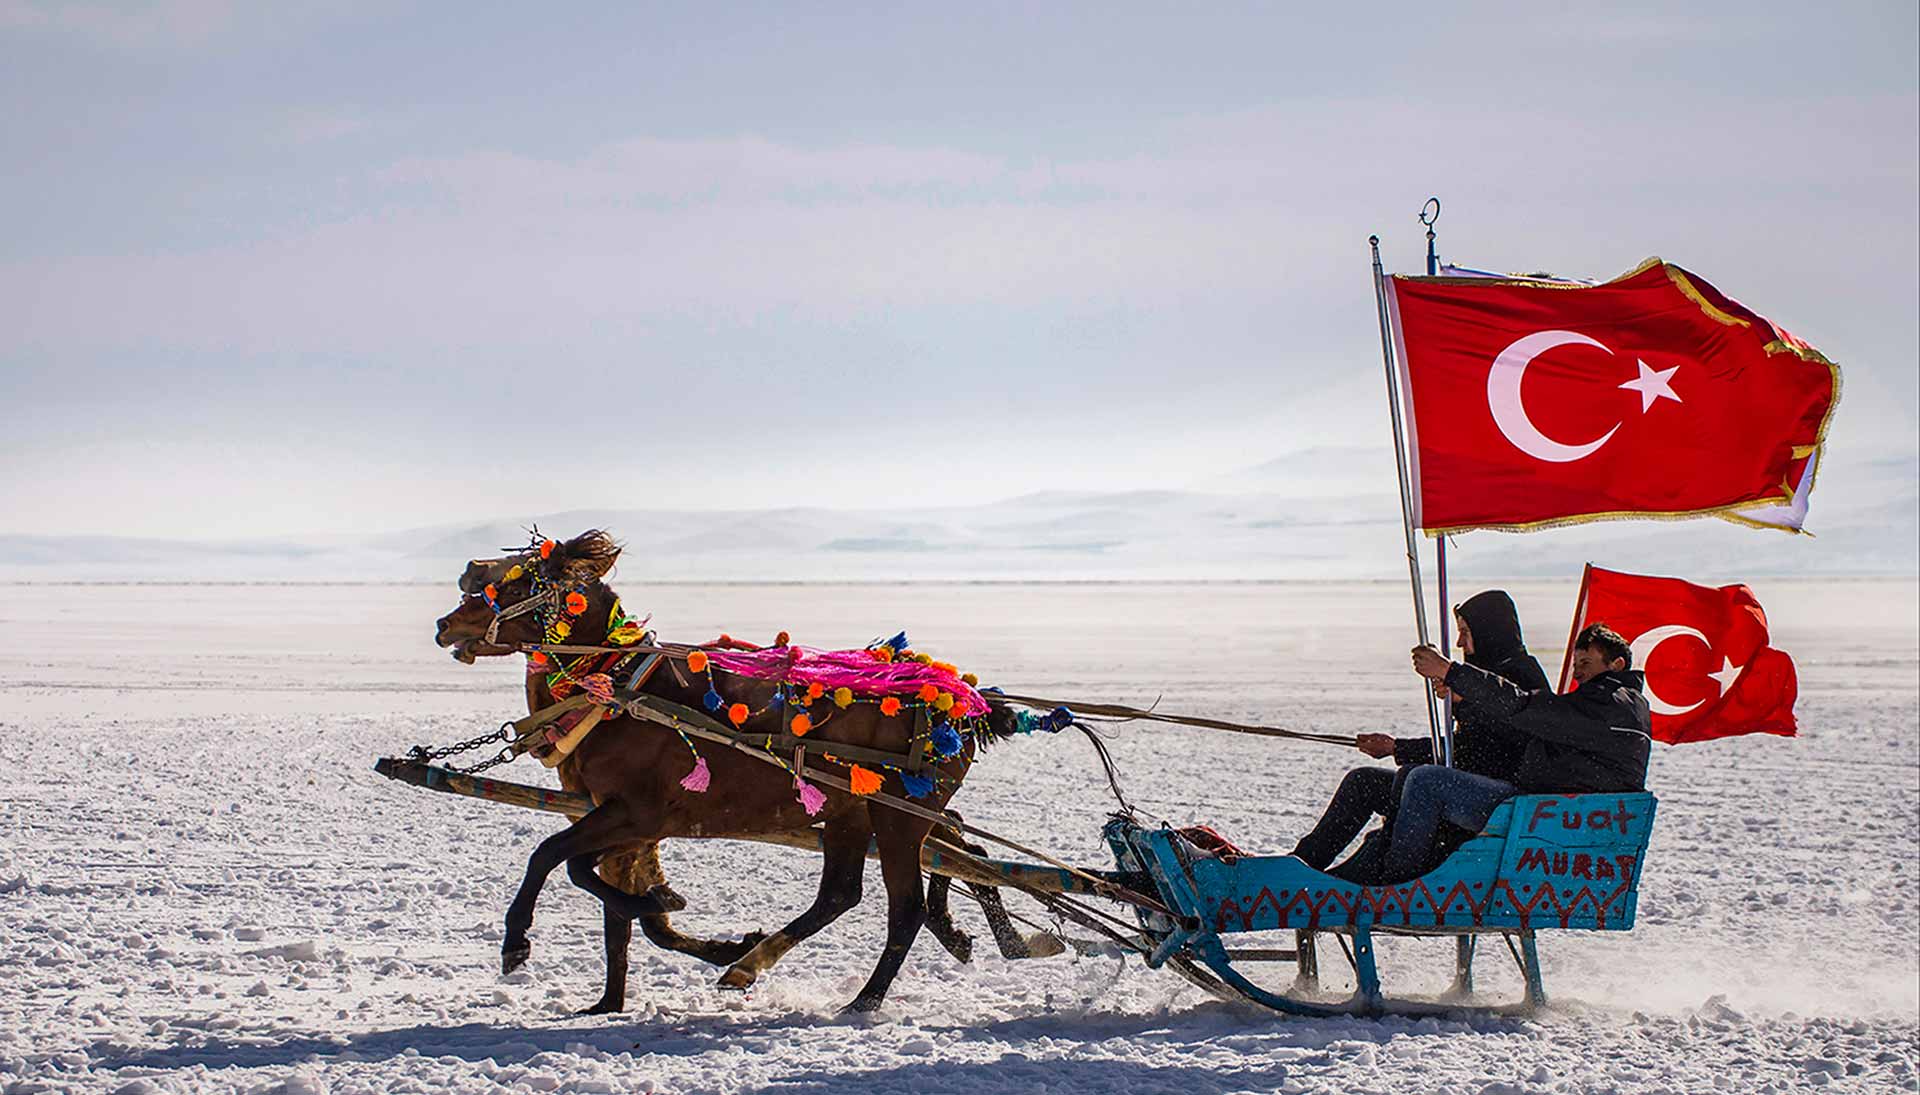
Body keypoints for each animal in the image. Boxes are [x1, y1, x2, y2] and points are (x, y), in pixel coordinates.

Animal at [430, 530, 1013, 1006]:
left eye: (516, 577)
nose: (444, 621)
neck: (614, 687)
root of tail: (965, 703)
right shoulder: (625, 820)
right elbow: (608, 897)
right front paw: (611, 994)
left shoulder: (636, 813)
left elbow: (554, 858)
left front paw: (517, 943)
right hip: (850, 812)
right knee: (851, 889)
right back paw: (752, 965)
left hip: (898, 817)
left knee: (907, 905)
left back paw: (863, 1000)